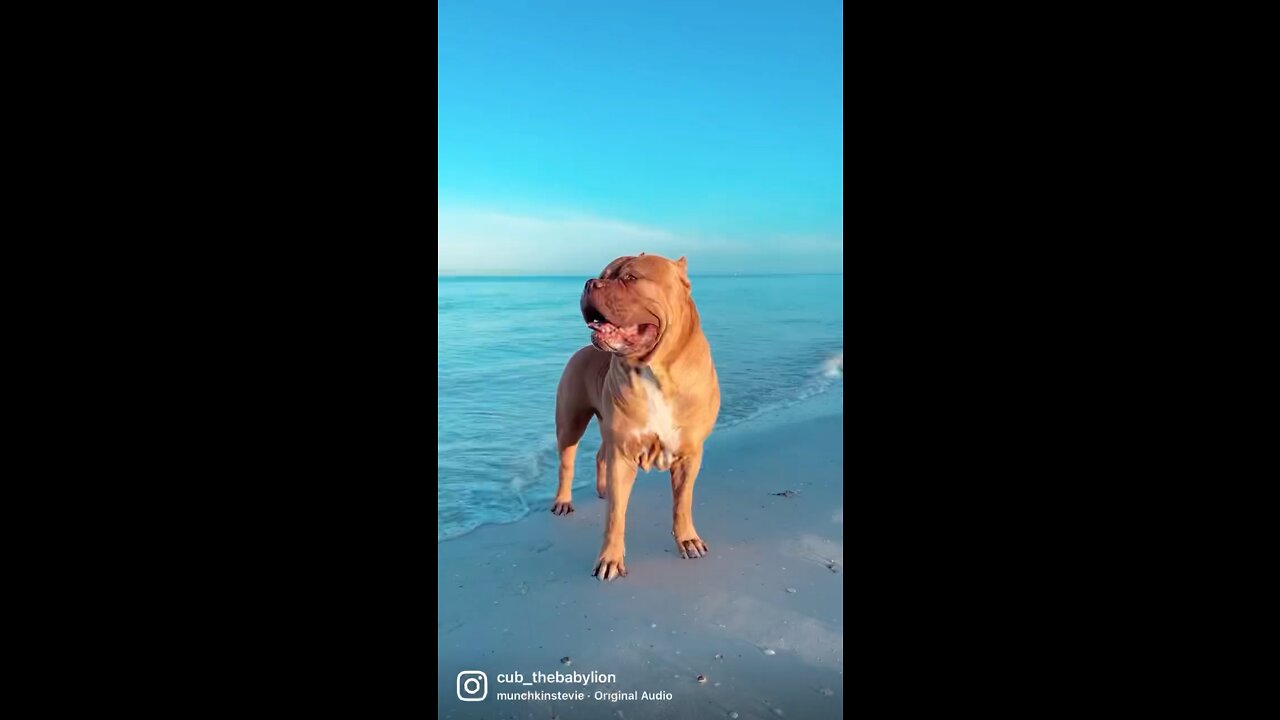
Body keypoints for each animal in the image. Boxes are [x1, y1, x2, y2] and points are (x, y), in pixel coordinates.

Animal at [547, 252, 716, 576]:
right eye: (603, 275)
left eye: (630, 277)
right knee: (567, 464)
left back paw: (601, 489)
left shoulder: (690, 454)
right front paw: (610, 559)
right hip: (570, 424)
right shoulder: (623, 452)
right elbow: (615, 515)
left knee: (600, 455)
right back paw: (563, 500)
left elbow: (683, 502)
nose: (589, 282)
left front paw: (687, 540)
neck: (655, 371)